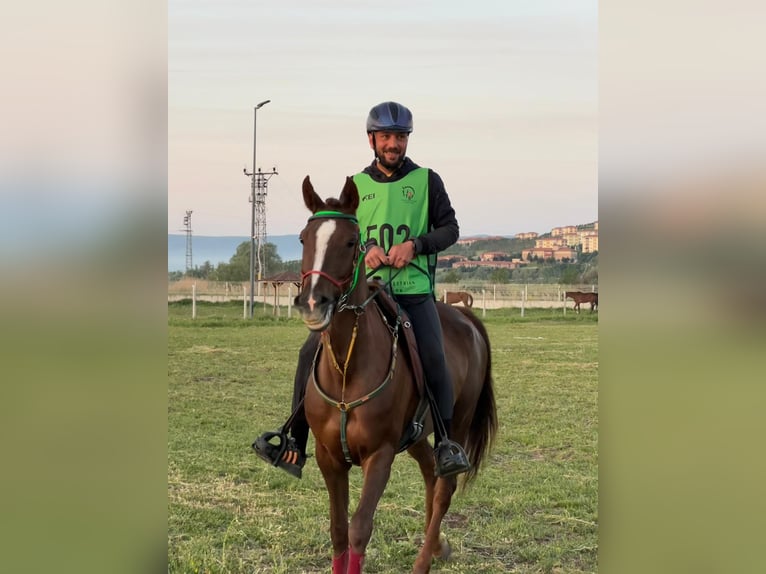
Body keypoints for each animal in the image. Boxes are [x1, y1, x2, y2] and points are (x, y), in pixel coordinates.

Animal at [294, 175, 497, 574]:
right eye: (303, 239)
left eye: (350, 242)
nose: (312, 303)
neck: (347, 366)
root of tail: (465, 317)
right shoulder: (329, 457)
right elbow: (338, 531)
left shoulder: (380, 455)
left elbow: (358, 529)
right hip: (416, 435)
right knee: (431, 473)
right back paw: (437, 546)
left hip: (458, 424)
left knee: (444, 488)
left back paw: (424, 560)